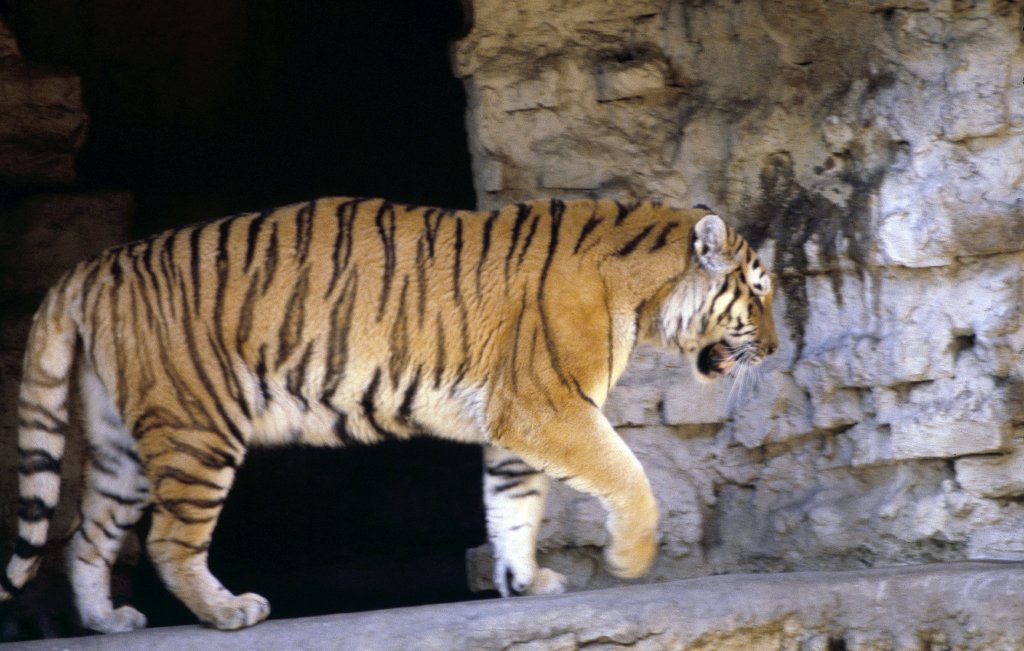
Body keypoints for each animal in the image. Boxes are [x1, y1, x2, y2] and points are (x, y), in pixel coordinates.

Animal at [0, 196, 777, 632]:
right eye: (760, 291)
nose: (773, 348)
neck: (647, 294)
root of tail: (95, 263)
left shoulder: (516, 423)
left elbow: (513, 506)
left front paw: (525, 580)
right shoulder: (548, 406)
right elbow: (629, 474)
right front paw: (630, 557)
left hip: (124, 444)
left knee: (86, 536)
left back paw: (107, 620)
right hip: (197, 428)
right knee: (167, 541)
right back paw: (229, 612)